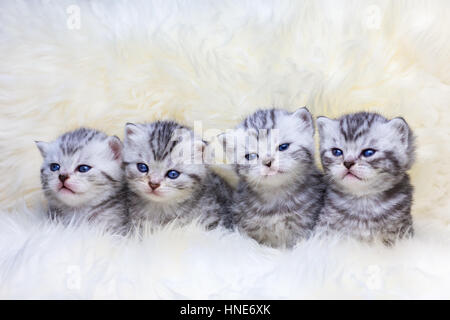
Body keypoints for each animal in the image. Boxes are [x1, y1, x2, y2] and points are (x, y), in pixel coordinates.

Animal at [314, 111, 416, 244]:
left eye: (368, 152)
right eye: (336, 152)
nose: (348, 163)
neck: (363, 201)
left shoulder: (401, 230)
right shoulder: (325, 227)